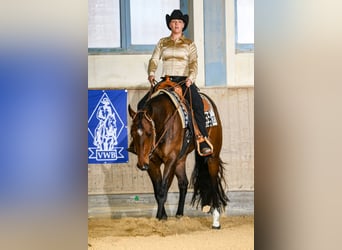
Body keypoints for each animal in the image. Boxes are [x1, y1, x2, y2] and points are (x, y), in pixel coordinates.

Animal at [127, 83, 228, 229]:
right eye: (132, 133)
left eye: (149, 133)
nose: (141, 164)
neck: (164, 123)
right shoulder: (152, 162)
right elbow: (157, 190)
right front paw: (163, 216)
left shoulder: (170, 160)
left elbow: (163, 190)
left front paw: (159, 218)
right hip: (180, 159)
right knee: (183, 183)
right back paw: (179, 214)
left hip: (212, 156)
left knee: (214, 182)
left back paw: (215, 220)